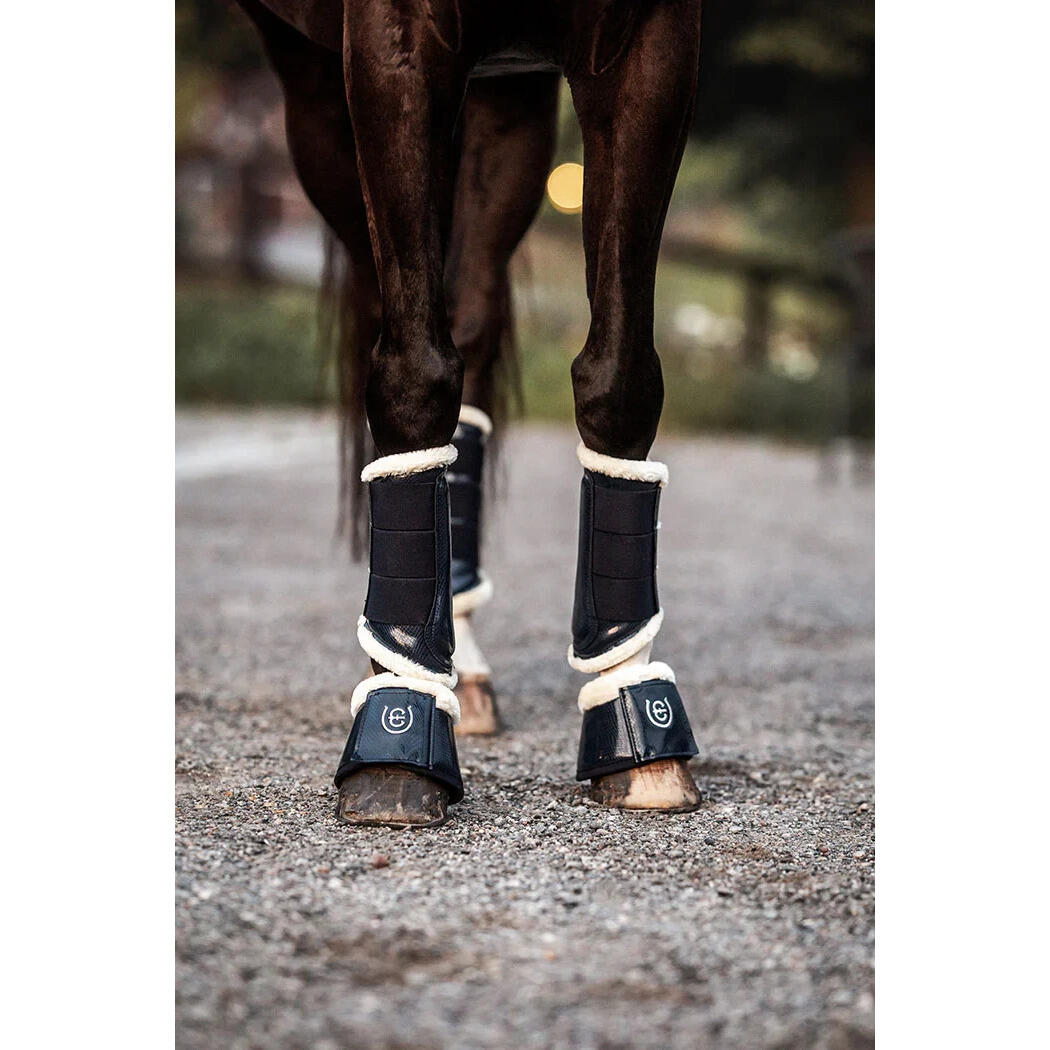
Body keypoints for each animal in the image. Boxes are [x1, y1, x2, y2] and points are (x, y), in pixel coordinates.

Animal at [235, 0, 704, 826]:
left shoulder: (652, 40)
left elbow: (620, 377)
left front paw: (635, 717)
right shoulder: (390, 49)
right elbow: (412, 372)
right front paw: (398, 729)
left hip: (504, 100)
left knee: (467, 317)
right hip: (315, 90)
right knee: (399, 319)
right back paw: (403, 665)